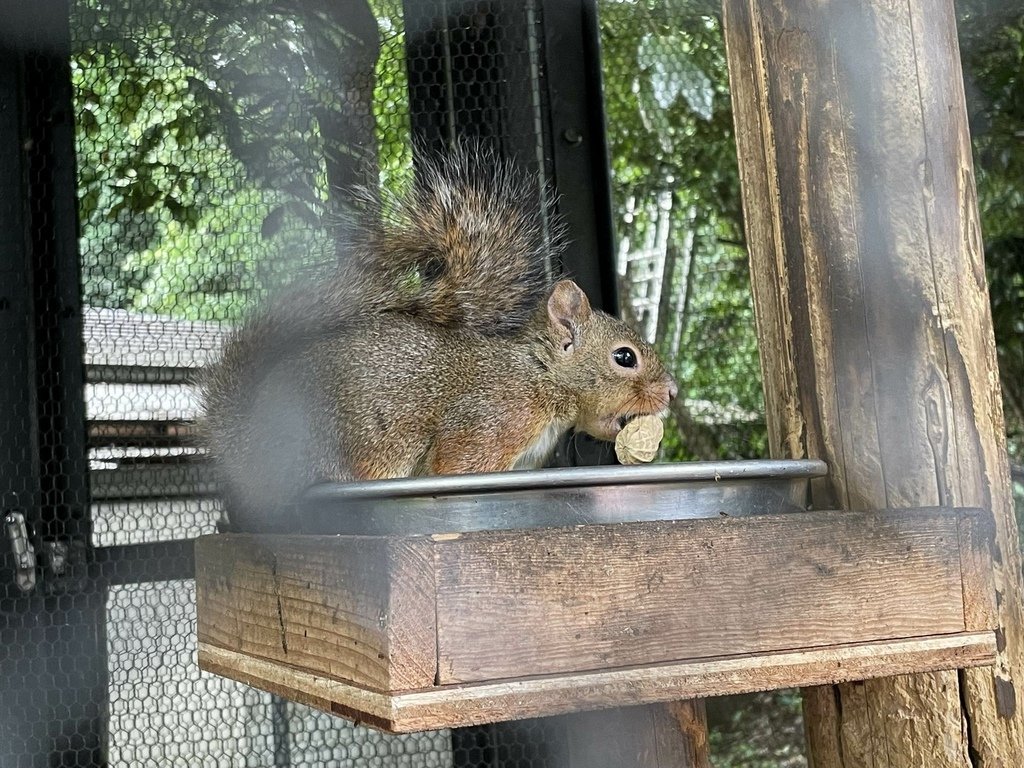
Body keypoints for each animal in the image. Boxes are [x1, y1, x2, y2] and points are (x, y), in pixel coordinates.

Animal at [201, 148, 679, 528]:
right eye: (624, 357)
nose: (672, 391)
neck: (541, 377)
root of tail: (242, 441)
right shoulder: (492, 421)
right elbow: (453, 462)